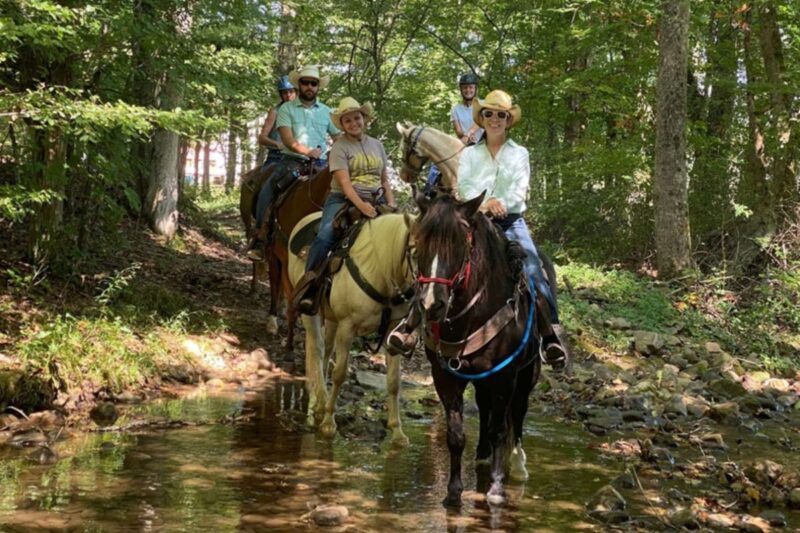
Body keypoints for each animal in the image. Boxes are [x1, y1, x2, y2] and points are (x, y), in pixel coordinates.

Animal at [239, 162, 330, 350]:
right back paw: (254, 290)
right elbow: (275, 283)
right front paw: (273, 321)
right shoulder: (277, 255)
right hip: (250, 228)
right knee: (257, 263)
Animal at [288, 212, 412, 444]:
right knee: (317, 348)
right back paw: (321, 404)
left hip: (331, 317)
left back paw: (320, 403)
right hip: (311, 312)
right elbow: (340, 373)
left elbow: (394, 381)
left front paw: (398, 432)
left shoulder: (391, 329)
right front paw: (329, 424)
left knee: (327, 350)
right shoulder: (347, 326)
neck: (379, 268)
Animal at [410, 192, 540, 508]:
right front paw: (453, 492)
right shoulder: (445, 376)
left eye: (459, 245)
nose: (432, 304)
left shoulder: (505, 376)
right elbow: (456, 436)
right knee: (484, 408)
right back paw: (481, 457)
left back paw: (518, 465)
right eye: (420, 244)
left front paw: (496, 489)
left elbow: (500, 430)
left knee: (517, 414)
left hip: (526, 375)